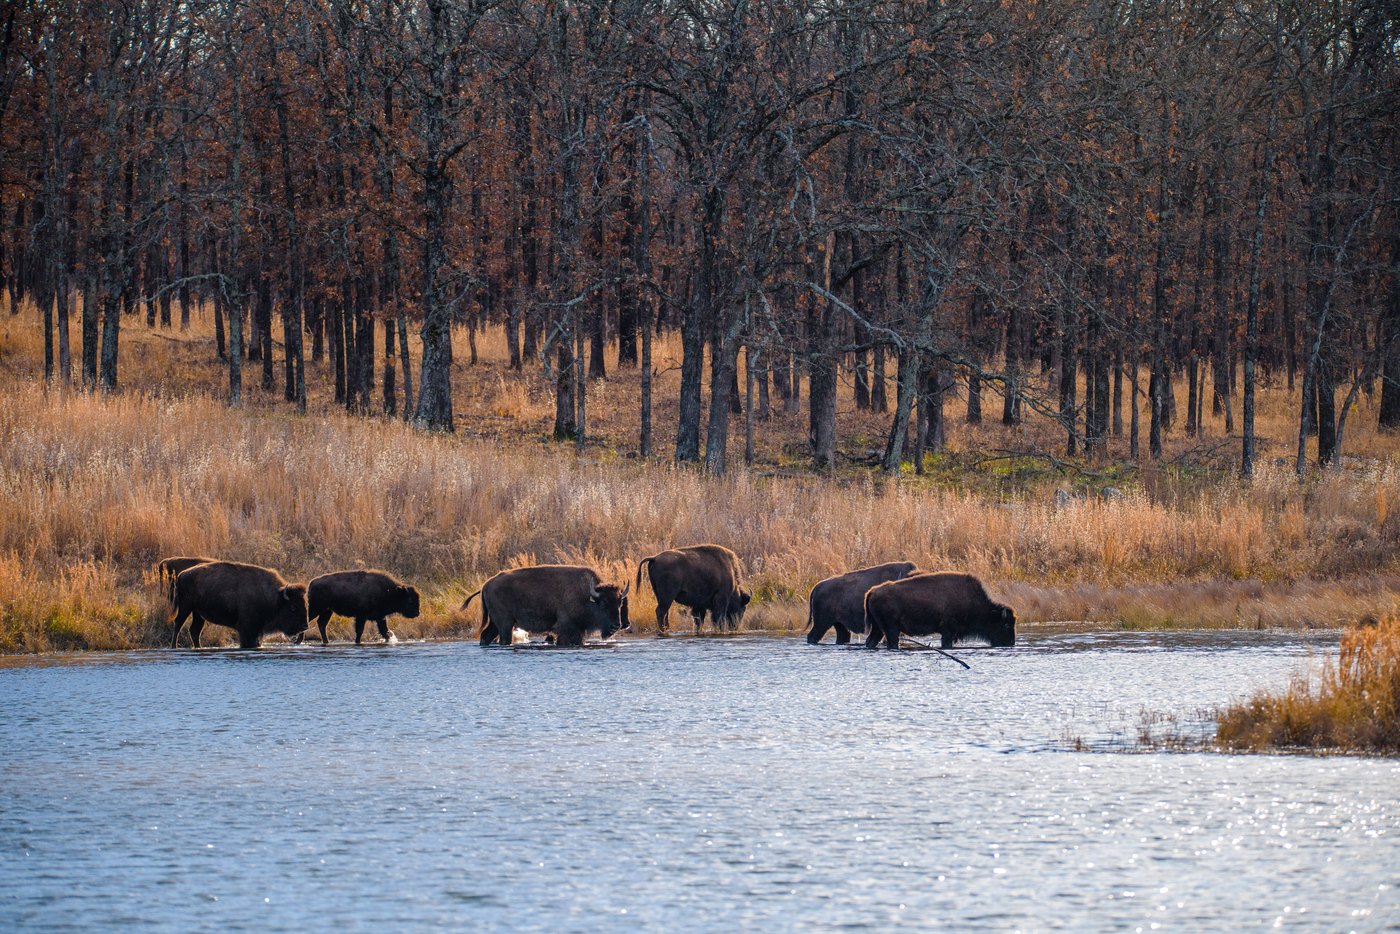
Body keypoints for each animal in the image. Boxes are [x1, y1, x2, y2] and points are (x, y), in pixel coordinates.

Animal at [170, 561, 309, 649]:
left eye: (306, 605)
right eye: (293, 607)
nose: (304, 626)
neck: (275, 598)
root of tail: (182, 574)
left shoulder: (257, 631)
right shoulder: (247, 630)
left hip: (198, 613)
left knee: (195, 630)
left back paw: (199, 648)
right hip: (186, 607)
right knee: (178, 624)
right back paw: (174, 647)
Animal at [463, 565, 630, 647]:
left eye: (619, 602)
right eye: (603, 603)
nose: (616, 625)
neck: (587, 595)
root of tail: (486, 584)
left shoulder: (578, 632)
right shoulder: (567, 630)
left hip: (495, 623)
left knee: (486, 635)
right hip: (505, 624)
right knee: (502, 638)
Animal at [863, 571, 1015, 650]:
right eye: (1006, 624)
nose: (1010, 643)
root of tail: (872, 591)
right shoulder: (948, 632)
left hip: (878, 628)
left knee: (871, 641)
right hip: (890, 629)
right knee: (892, 642)